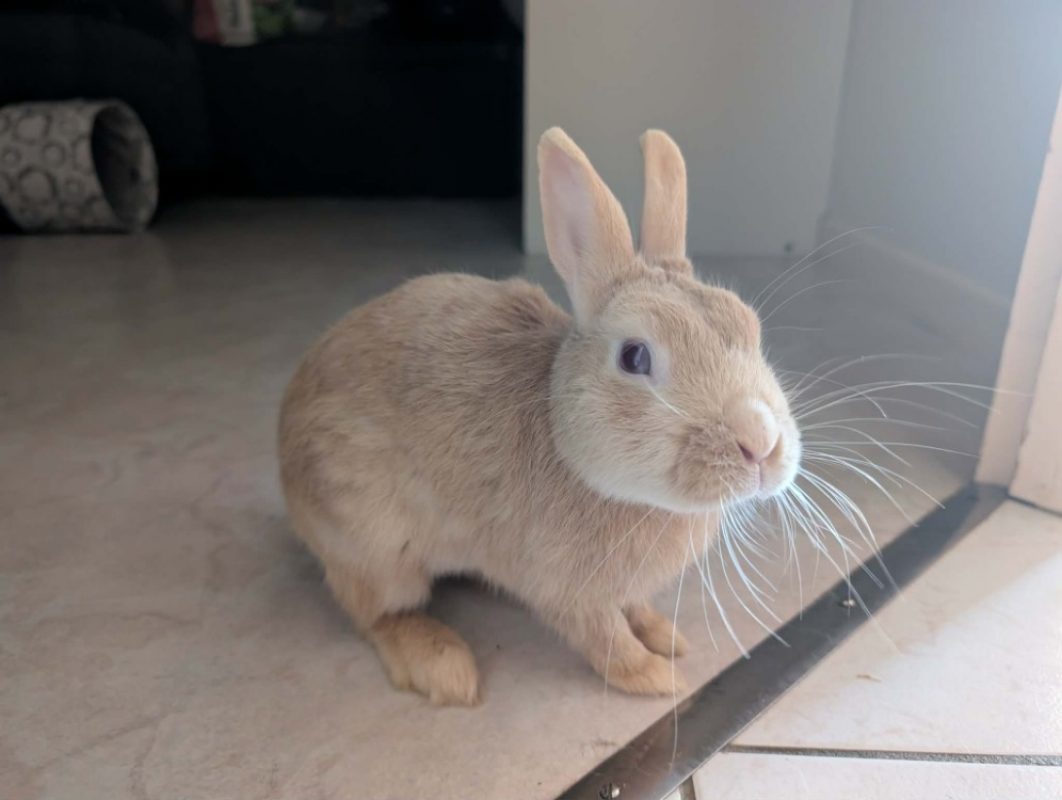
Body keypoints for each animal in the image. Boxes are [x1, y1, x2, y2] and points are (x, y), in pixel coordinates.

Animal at [278, 128, 801, 706]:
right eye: (634, 357)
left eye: (749, 325)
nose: (761, 443)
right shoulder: (569, 592)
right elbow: (605, 638)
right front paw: (655, 677)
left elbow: (633, 610)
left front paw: (666, 636)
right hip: (375, 543)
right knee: (376, 613)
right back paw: (443, 667)